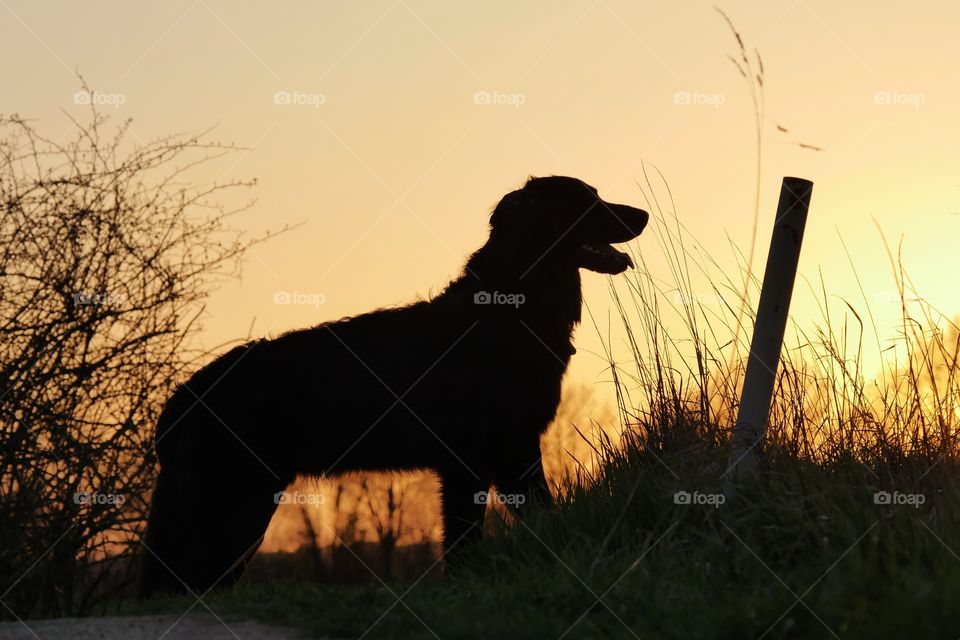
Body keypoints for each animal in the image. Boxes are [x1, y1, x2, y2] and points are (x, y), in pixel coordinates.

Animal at [139, 175, 648, 596]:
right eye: (588, 199)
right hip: (231, 501)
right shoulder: (484, 457)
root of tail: (186, 392)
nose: (643, 214)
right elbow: (472, 535)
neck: (513, 307)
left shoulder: (499, 456)